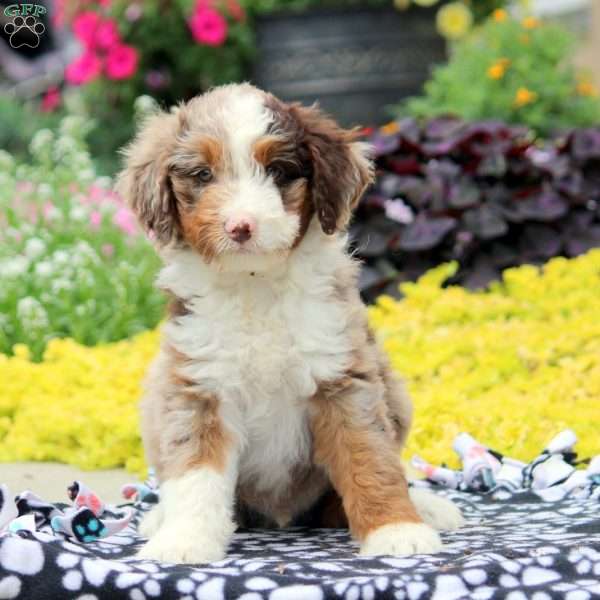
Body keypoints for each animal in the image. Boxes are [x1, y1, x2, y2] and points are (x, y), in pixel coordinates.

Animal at [118, 82, 464, 564]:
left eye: (278, 172)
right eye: (203, 175)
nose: (241, 226)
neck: (255, 283)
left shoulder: (343, 378)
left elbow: (369, 456)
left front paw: (397, 530)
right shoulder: (198, 388)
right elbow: (195, 473)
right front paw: (185, 540)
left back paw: (426, 507)